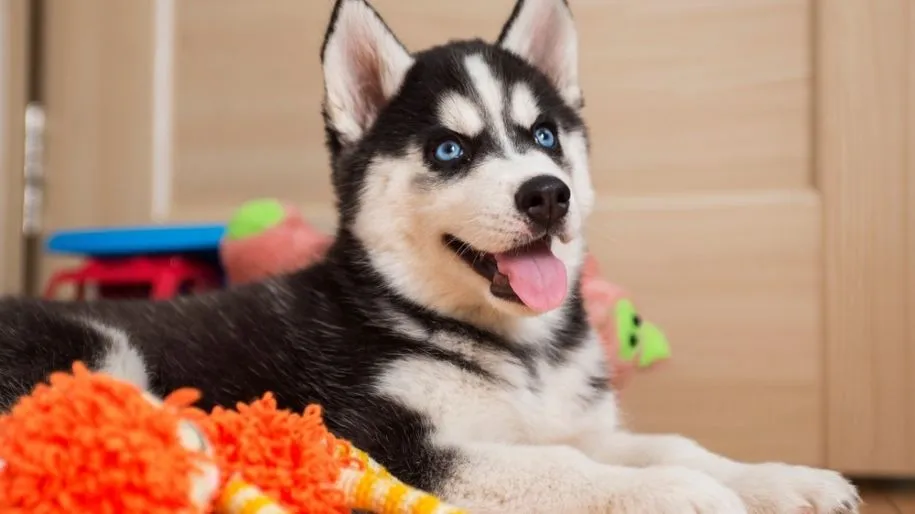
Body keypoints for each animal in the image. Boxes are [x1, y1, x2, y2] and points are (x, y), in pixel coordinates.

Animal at [0, 0, 860, 510]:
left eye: (544, 135)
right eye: (449, 149)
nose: (546, 195)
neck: (515, 351)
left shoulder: (566, 420)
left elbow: (670, 442)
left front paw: (784, 478)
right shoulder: (391, 440)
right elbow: (580, 471)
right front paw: (677, 490)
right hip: (90, 340)